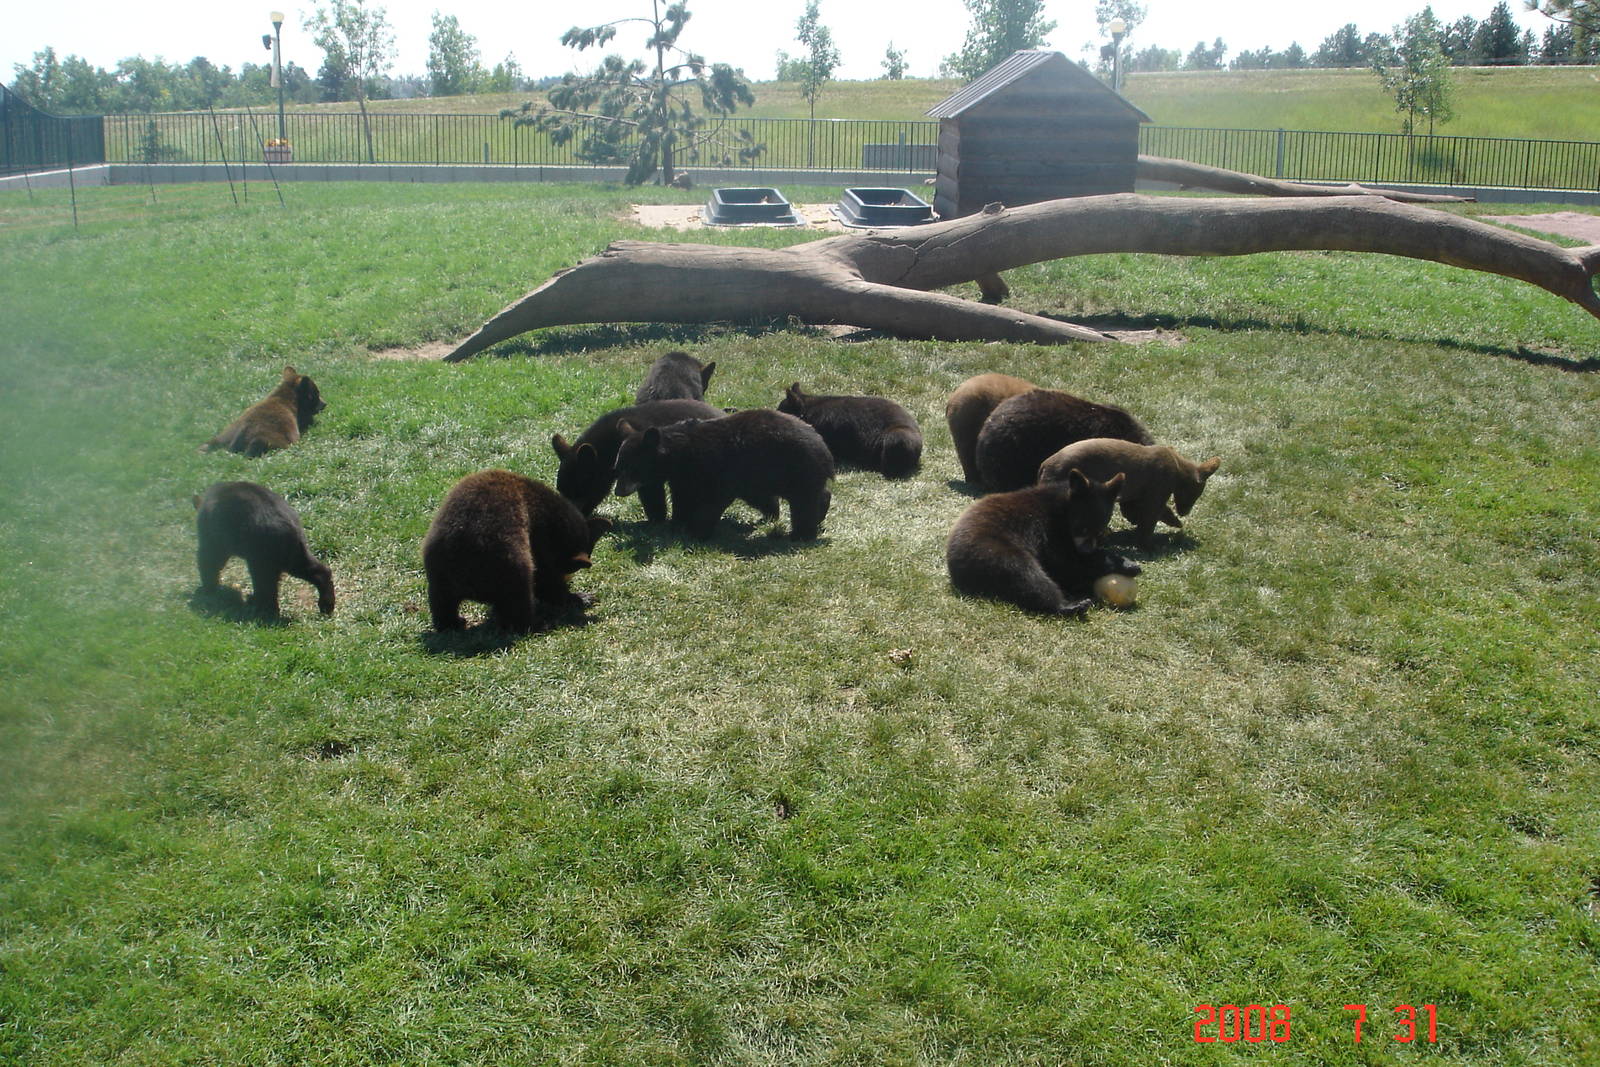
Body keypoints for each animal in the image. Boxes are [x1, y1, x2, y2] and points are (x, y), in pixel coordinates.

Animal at [193, 481, 335, 619]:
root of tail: (289, 528)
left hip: (261, 554)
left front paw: (207, 589)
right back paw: (326, 605)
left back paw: (264, 609)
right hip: (293, 552)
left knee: (265, 583)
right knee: (315, 570)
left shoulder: (213, 536)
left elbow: (209, 559)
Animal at [422, 470, 611, 633]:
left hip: (439, 576)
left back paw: (452, 622)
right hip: (511, 569)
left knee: (442, 602)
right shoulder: (539, 538)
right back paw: (538, 624)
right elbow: (546, 578)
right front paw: (577, 597)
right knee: (520, 600)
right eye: (572, 567)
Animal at [612, 408, 834, 541]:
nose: (618, 491)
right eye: (617, 468)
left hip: (795, 467)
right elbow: (682, 498)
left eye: (631, 468)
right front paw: (677, 524)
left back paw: (801, 533)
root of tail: (824, 448)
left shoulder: (714, 467)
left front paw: (699, 530)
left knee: (803, 503)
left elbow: (714, 499)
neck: (679, 454)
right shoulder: (683, 477)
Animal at [946, 469, 1138, 617]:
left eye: (1099, 531)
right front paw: (1125, 564)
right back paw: (1070, 605)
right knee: (1026, 574)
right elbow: (1065, 563)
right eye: (1082, 528)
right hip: (992, 550)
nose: (1086, 551)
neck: (1064, 508)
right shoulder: (1047, 529)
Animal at [1038, 438, 1222, 547]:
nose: (1185, 513)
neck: (1177, 466)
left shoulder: (1137, 495)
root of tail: (1044, 465)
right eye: (1195, 495)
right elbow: (1151, 519)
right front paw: (1146, 543)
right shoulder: (1156, 493)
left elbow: (1138, 512)